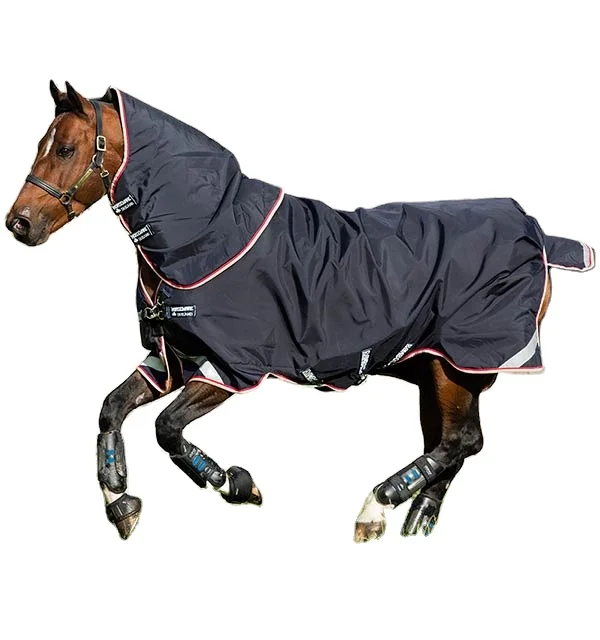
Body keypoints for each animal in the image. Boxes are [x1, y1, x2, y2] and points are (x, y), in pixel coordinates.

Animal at [6, 81, 595, 541]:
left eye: (64, 148)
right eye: (42, 144)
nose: (19, 224)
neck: (210, 236)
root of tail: (537, 232)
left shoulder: (230, 369)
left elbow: (167, 429)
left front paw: (235, 483)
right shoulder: (173, 359)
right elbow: (111, 409)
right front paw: (121, 506)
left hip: (458, 367)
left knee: (461, 441)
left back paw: (376, 508)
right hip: (438, 370)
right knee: (453, 443)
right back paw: (417, 518)